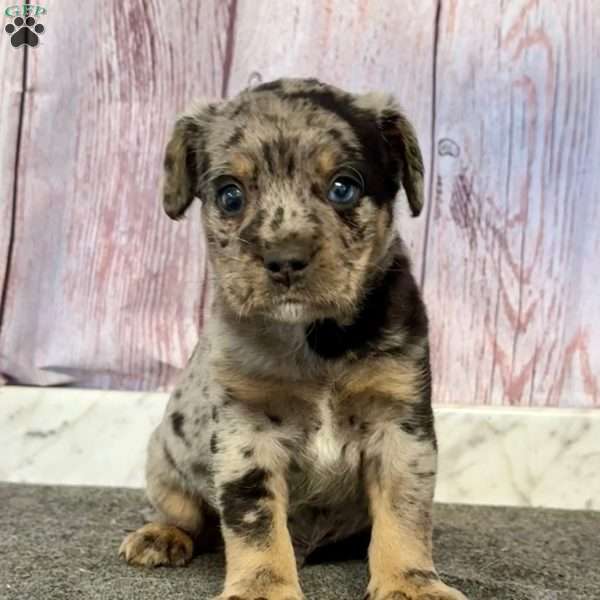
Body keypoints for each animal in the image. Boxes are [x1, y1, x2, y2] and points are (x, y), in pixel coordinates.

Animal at [119, 78, 466, 600]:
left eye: (344, 187)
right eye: (230, 196)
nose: (285, 259)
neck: (312, 340)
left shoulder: (400, 424)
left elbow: (405, 513)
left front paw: (410, 583)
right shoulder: (247, 432)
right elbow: (255, 521)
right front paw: (262, 587)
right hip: (165, 457)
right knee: (184, 512)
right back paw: (161, 535)